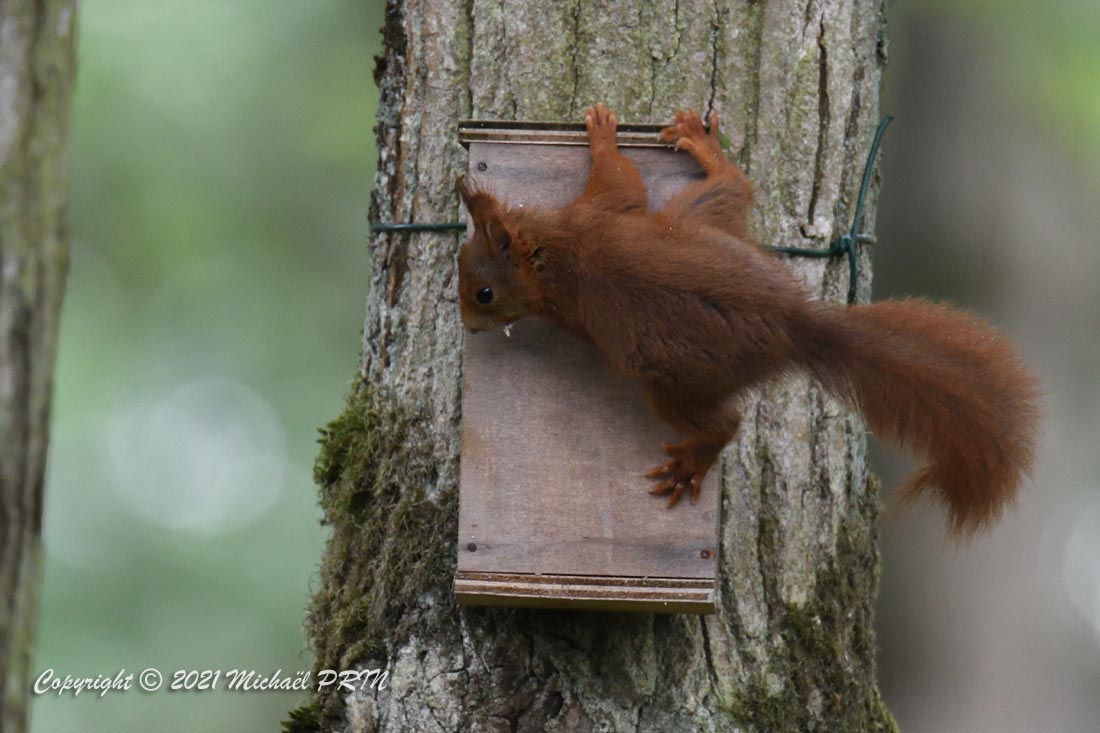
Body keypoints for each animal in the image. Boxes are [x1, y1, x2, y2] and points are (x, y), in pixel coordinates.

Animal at [456, 103, 1040, 536]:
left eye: (483, 293)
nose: (466, 326)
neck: (546, 252)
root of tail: (789, 323)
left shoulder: (595, 214)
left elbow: (619, 178)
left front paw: (600, 131)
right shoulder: (594, 219)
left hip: (669, 381)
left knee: (726, 423)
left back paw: (693, 461)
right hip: (694, 222)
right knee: (731, 187)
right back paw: (707, 148)